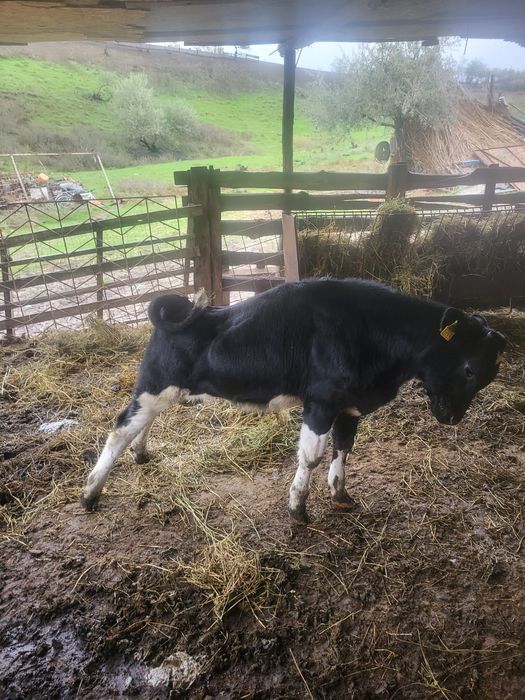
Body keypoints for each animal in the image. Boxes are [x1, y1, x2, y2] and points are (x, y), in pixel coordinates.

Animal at [80, 278, 506, 522]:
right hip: (156, 383)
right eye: (470, 369)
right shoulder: (321, 400)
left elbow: (344, 448)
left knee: (144, 421)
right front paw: (298, 508)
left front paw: (341, 495)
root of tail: (185, 309)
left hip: (164, 391)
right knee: (121, 427)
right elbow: (312, 456)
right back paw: (90, 493)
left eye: (491, 373)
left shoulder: (349, 405)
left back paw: (141, 455)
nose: (452, 417)